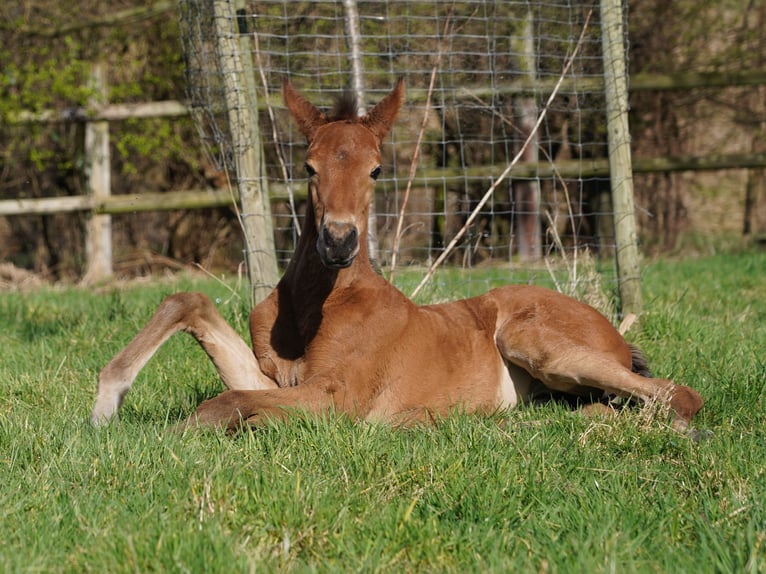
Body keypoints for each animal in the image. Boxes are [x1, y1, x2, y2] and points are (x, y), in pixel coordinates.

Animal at [88, 80, 704, 432]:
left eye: (377, 170)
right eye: (308, 166)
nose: (338, 242)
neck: (315, 305)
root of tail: (616, 334)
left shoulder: (337, 397)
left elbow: (224, 404)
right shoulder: (275, 380)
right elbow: (192, 306)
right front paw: (104, 407)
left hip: (535, 340)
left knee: (678, 397)